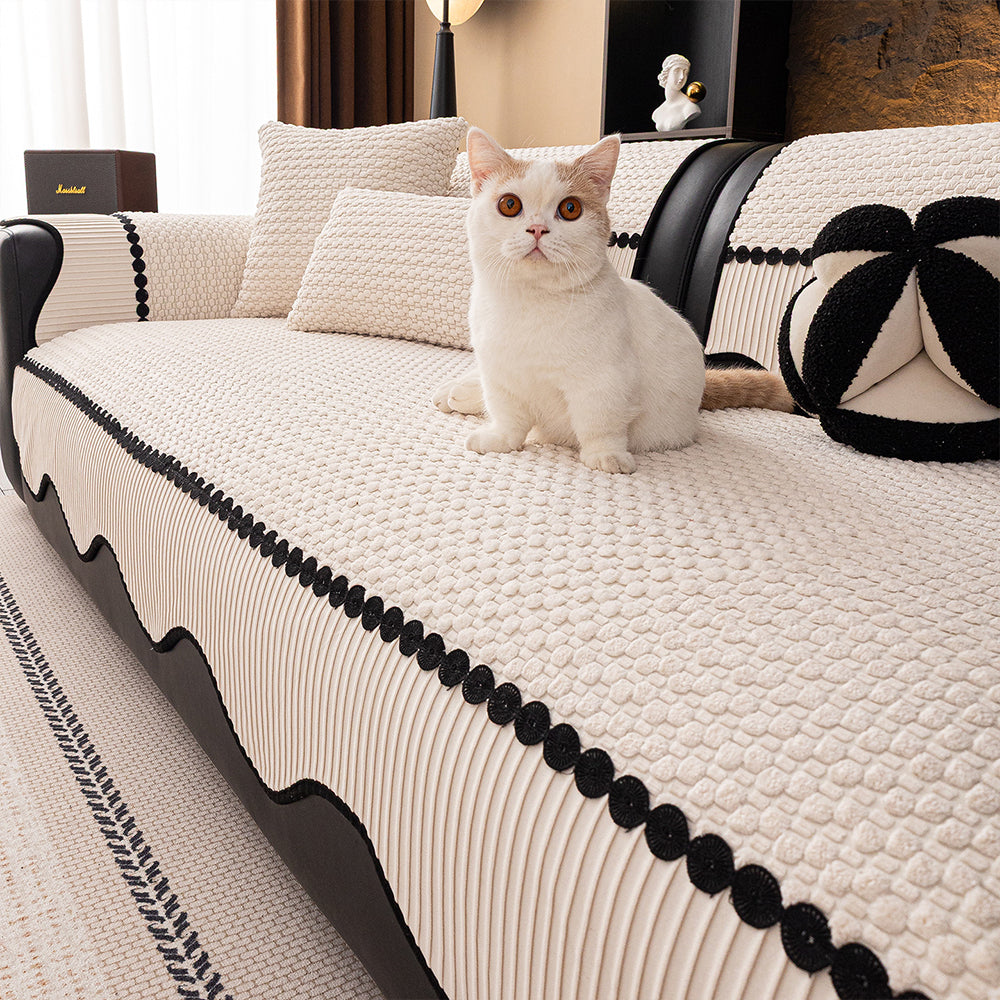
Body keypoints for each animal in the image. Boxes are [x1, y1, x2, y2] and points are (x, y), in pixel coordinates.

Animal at [434, 128, 794, 474]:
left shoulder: (604, 381)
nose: (537, 229)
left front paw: (606, 455)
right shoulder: (501, 374)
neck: (530, 306)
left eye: (570, 209)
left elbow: (599, 422)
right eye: (509, 204)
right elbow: (508, 414)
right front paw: (499, 438)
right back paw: (457, 391)